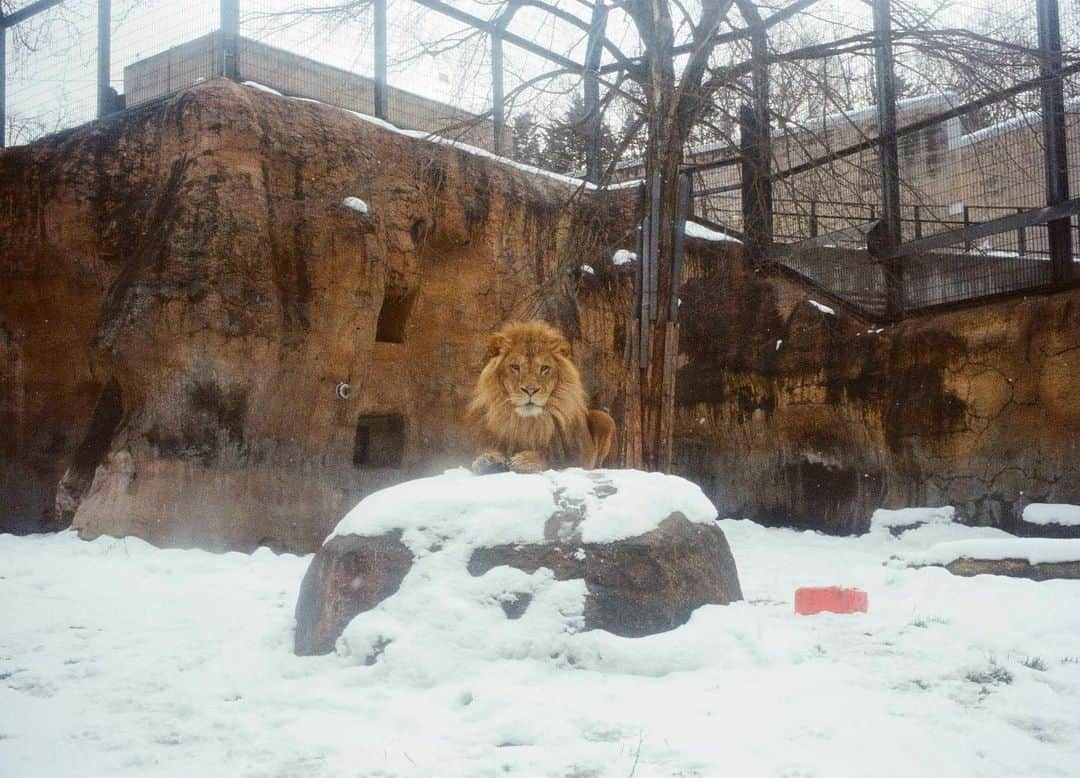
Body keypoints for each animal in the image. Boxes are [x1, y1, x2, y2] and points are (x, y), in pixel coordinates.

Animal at [466, 319, 617, 473]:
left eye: (544, 368)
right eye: (515, 367)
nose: (530, 390)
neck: (526, 422)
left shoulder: (575, 457)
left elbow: (552, 458)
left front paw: (526, 460)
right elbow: (489, 452)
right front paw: (488, 460)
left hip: (604, 418)